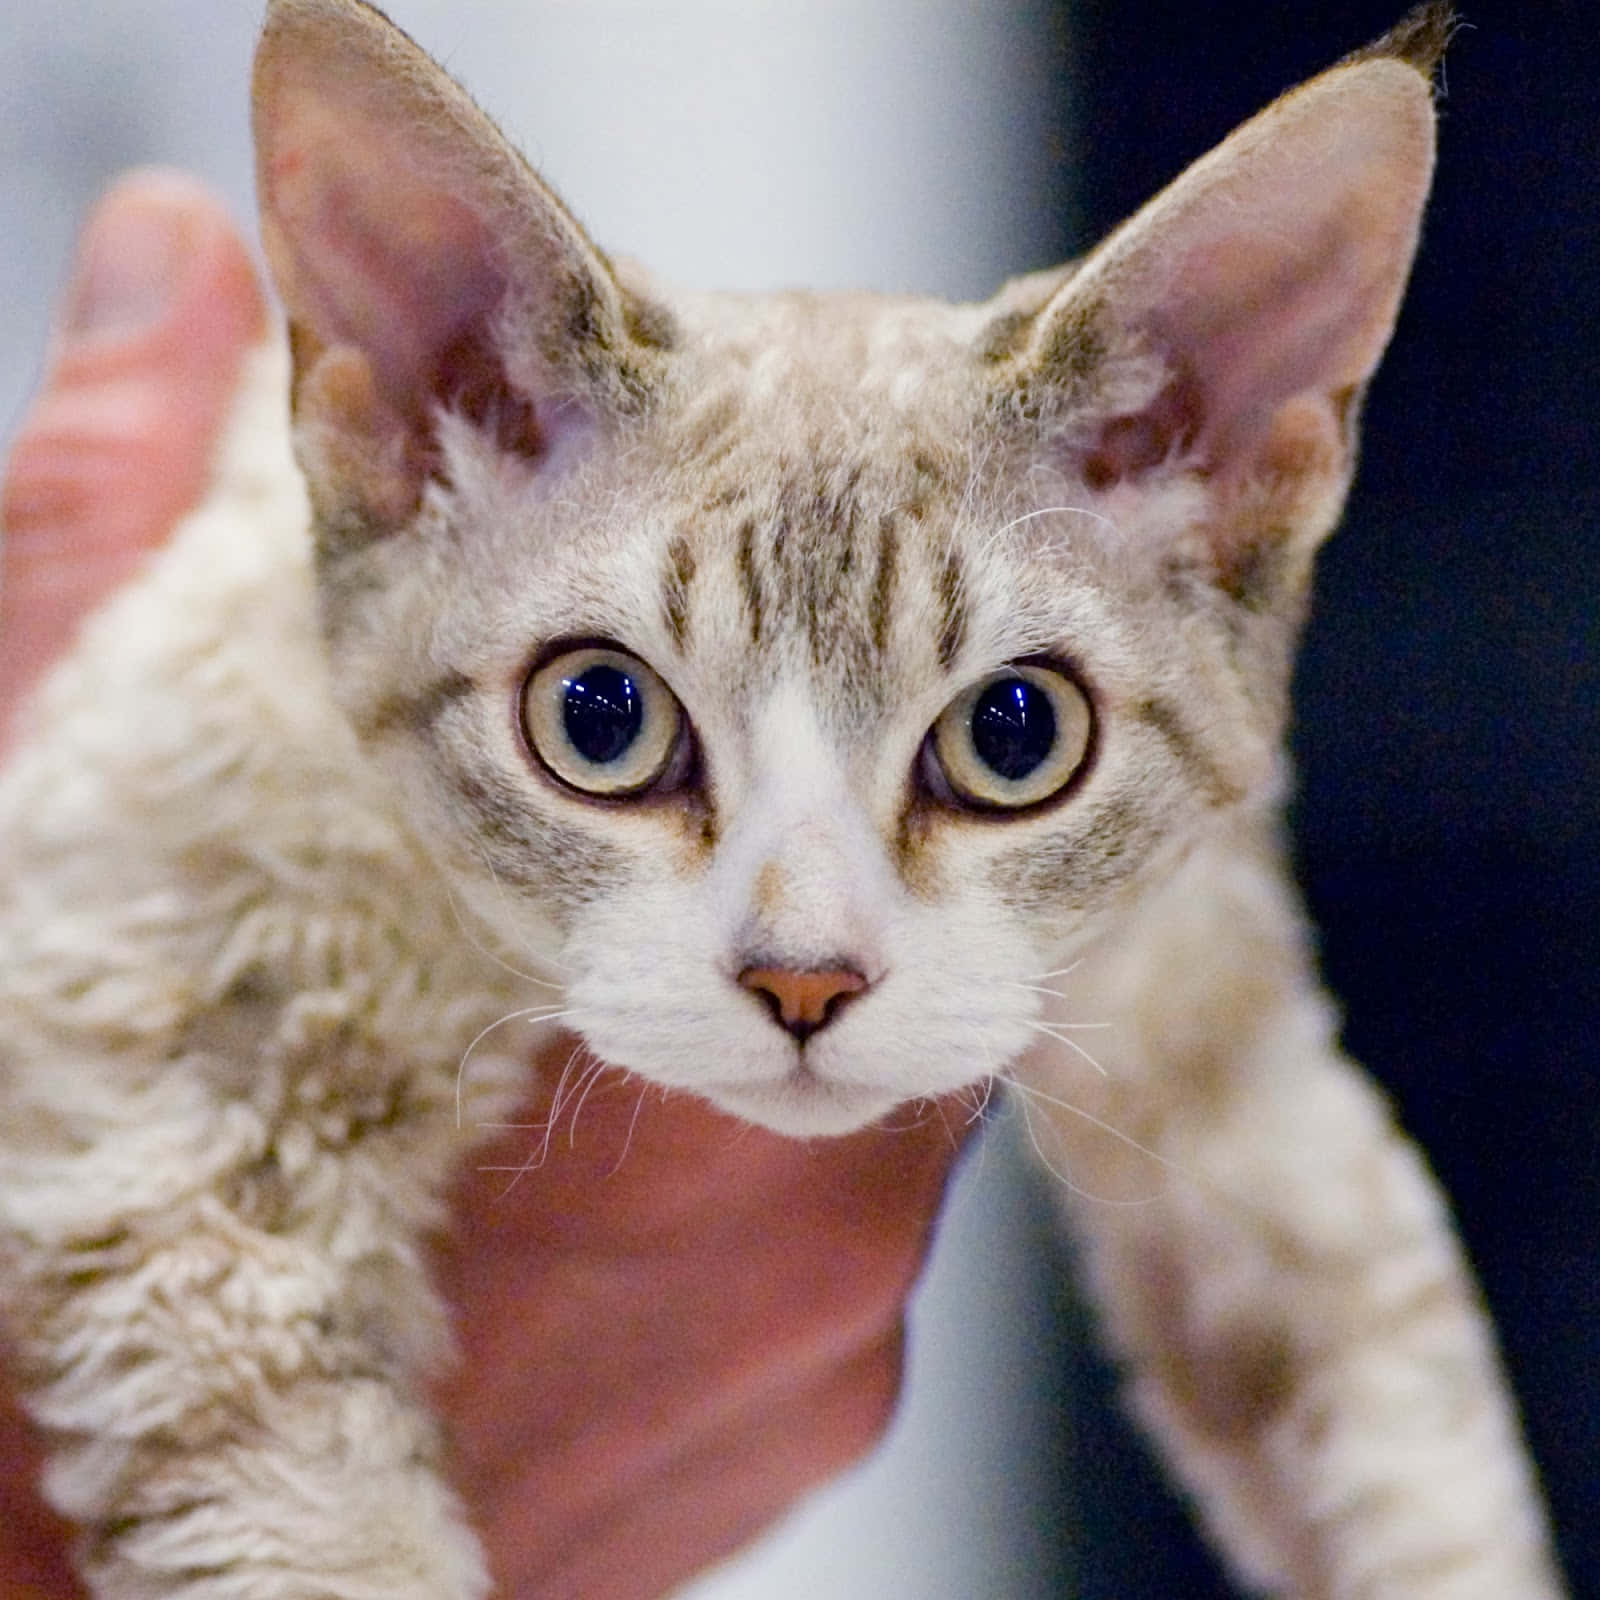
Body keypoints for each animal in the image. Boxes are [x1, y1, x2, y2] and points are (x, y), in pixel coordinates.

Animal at [0, 0, 1561, 1593]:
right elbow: (311, 1525)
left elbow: (1393, 1382)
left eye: (1013, 734)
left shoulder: (1207, 1002)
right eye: (600, 717)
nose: (805, 978)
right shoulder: (158, 1038)